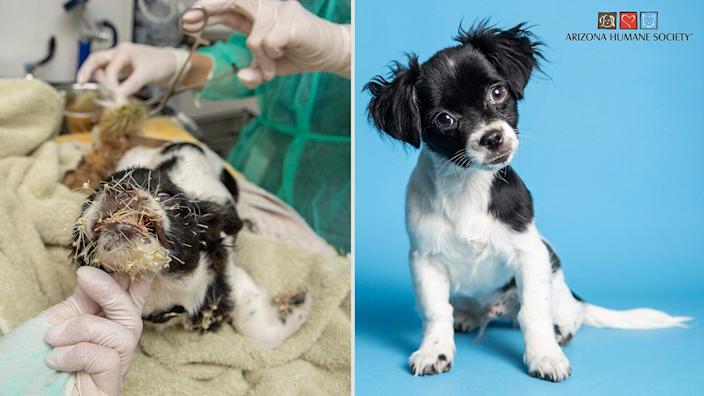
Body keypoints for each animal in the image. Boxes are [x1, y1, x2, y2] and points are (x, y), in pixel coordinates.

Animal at [72, 142, 310, 346]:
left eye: (165, 194)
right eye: (95, 193)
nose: (120, 188)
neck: (161, 285)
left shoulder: (229, 284)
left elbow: (261, 334)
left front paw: (300, 303)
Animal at [366, 23, 692, 382]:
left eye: (497, 92)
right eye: (444, 119)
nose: (492, 137)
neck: (467, 186)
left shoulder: (530, 252)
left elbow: (534, 312)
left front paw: (545, 355)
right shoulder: (424, 260)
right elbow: (435, 311)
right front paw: (434, 350)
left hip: (551, 262)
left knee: (567, 311)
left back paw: (561, 326)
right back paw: (466, 315)